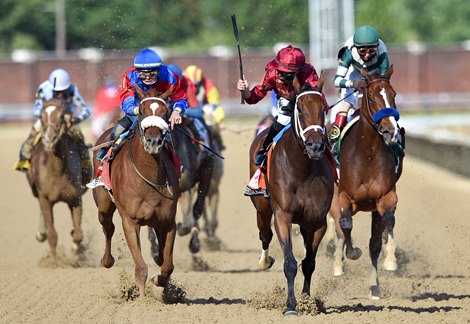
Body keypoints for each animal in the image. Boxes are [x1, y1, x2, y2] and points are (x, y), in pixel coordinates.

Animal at [25, 98, 91, 256]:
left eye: (61, 116)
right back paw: (41, 234)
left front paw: (76, 248)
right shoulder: (45, 198)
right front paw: (54, 259)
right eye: (41, 116)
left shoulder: (75, 198)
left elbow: (78, 233)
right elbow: (53, 235)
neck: (56, 171)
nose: (50, 139)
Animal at [90, 85, 180, 296]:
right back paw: (107, 260)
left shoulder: (168, 221)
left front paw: (160, 282)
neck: (149, 179)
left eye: (165, 112)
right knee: (108, 226)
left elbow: (167, 265)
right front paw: (142, 298)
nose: (153, 141)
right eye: (142, 112)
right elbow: (141, 268)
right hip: (104, 205)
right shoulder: (130, 221)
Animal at [250, 74, 334, 316]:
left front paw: (307, 301)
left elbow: (308, 263)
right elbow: (290, 263)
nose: (315, 146)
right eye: (301, 109)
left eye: (323, 108)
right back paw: (264, 261)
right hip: (262, 208)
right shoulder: (282, 215)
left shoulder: (317, 221)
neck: (302, 169)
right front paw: (290, 306)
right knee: (265, 234)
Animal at [326, 64, 404, 300]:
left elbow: (385, 229)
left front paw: (389, 263)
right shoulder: (343, 197)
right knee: (339, 229)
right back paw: (338, 265)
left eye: (393, 95)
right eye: (371, 97)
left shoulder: (385, 197)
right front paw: (352, 253)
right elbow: (345, 225)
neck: (367, 154)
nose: (390, 131)